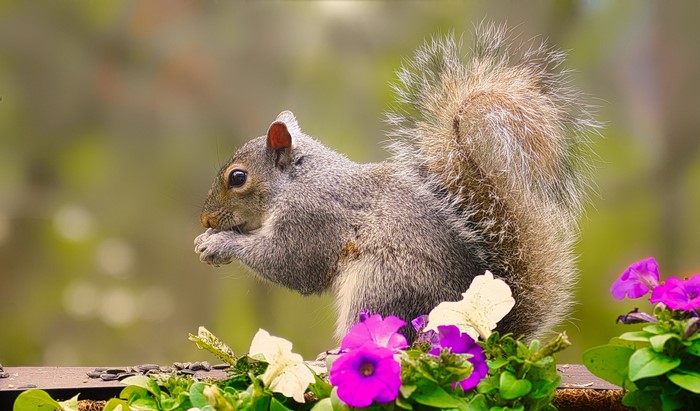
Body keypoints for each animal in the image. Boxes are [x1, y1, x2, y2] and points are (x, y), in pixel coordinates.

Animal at [194, 24, 597, 342]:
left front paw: (219, 242)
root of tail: (483, 332)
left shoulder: (311, 217)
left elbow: (291, 264)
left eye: (238, 178)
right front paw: (207, 241)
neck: (298, 180)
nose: (205, 220)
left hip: (380, 286)